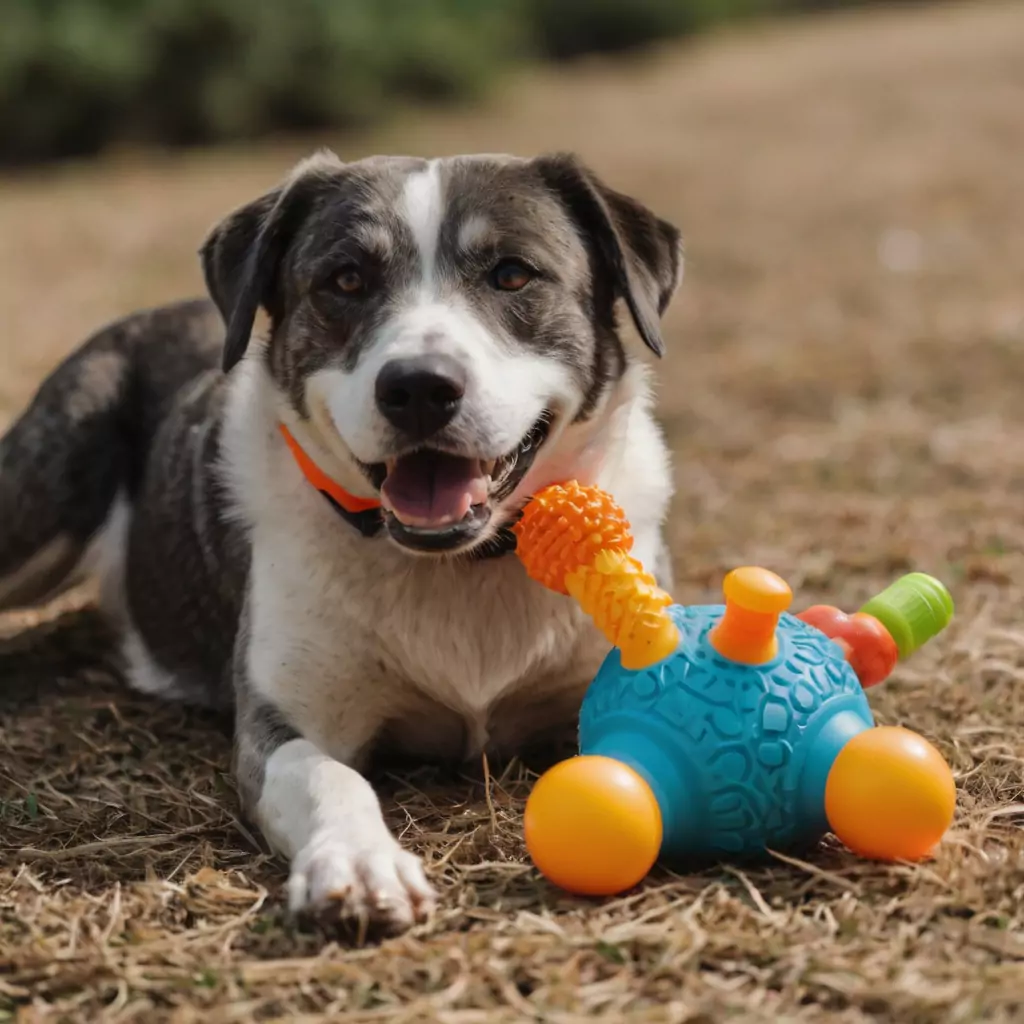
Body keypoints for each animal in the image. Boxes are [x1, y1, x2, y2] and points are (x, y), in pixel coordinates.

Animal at [2, 149, 688, 929]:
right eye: (347, 280)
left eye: (513, 274)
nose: (419, 388)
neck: (458, 564)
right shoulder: (282, 720)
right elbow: (326, 775)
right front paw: (360, 865)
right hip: (53, 478)